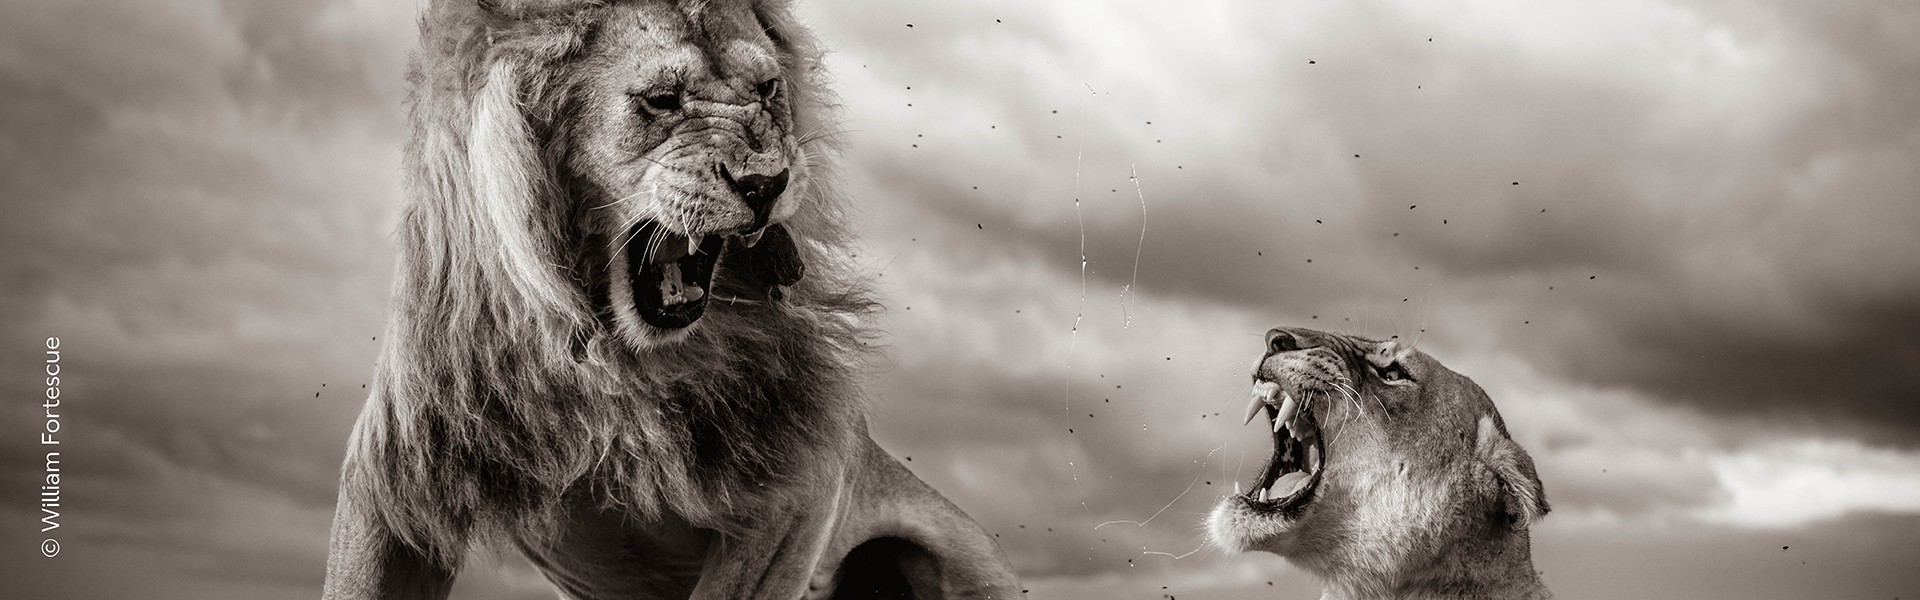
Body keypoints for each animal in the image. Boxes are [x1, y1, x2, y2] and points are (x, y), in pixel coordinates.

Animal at [320, 1, 1023, 598]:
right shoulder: (391, 480)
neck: (613, 357)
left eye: (769, 90)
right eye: (662, 99)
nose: (767, 184)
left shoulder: (804, 488)